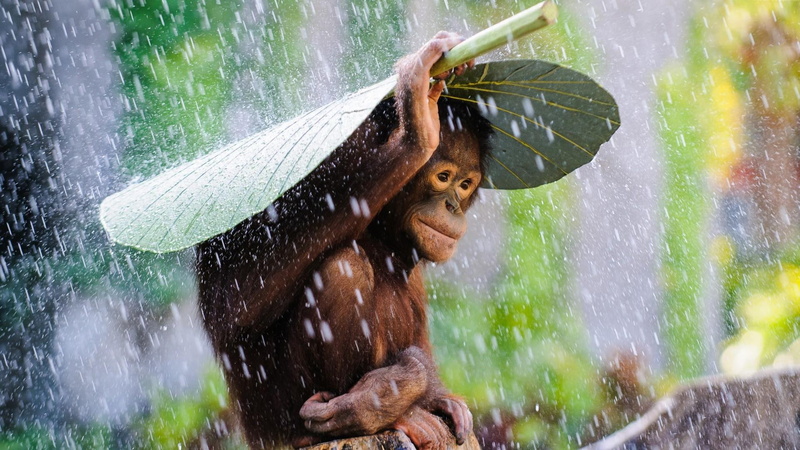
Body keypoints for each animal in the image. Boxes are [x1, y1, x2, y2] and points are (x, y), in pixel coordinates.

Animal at [196, 31, 492, 449]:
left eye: (466, 184)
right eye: (443, 176)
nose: (452, 205)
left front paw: (430, 394)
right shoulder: (320, 161)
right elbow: (231, 305)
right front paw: (417, 124)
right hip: (286, 418)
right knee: (342, 267)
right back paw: (380, 414)